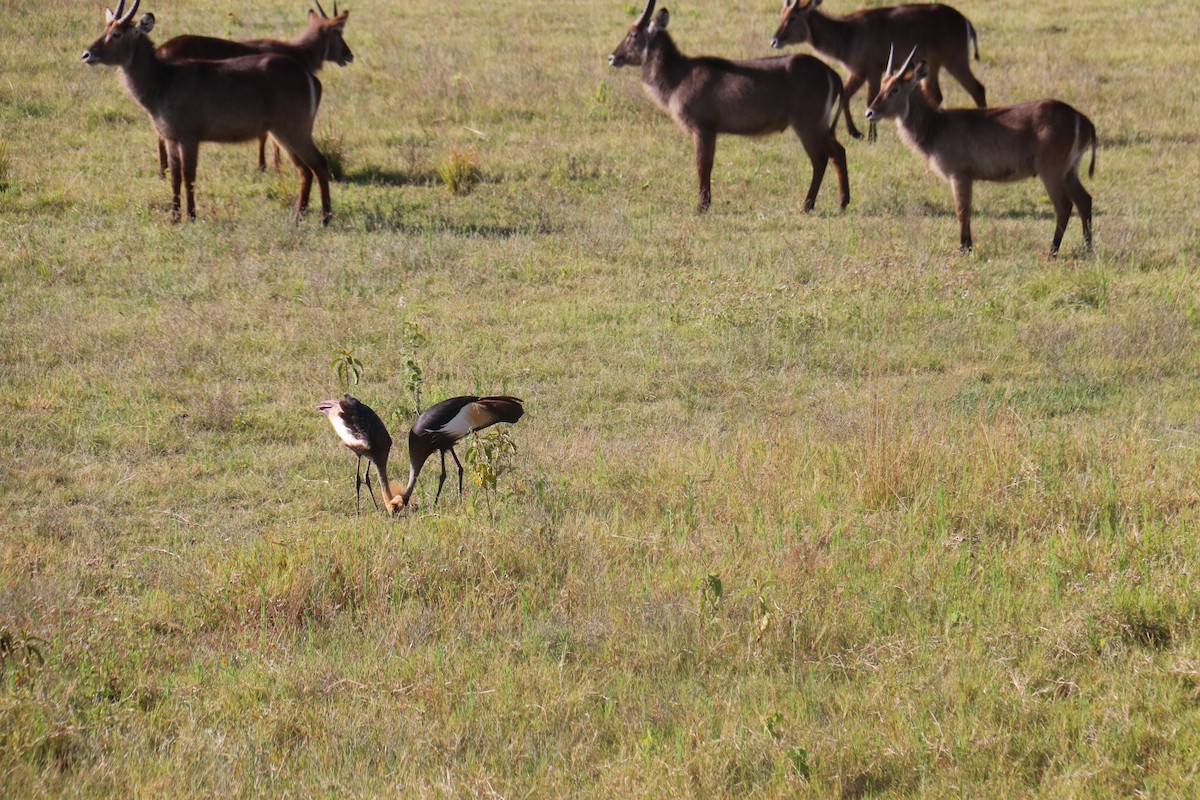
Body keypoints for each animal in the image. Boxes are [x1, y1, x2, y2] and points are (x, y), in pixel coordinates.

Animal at [83, 2, 333, 225]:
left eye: (116, 34)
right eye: (105, 28)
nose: (87, 54)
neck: (162, 80)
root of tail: (310, 77)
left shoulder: (189, 135)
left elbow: (189, 175)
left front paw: (191, 216)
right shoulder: (171, 137)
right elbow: (174, 177)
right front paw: (174, 218)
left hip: (295, 129)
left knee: (319, 164)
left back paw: (325, 218)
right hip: (281, 132)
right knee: (305, 170)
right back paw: (298, 216)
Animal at [154, 0, 352, 175]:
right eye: (338, 31)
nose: (349, 55)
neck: (298, 52)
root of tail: (161, 49)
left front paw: (265, 165)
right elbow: (269, 137)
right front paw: (272, 166)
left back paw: (163, 170)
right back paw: (164, 169)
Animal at [609, 0, 854, 214]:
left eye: (633, 34)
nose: (612, 57)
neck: (678, 76)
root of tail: (830, 72)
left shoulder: (703, 128)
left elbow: (702, 164)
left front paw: (701, 207)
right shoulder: (711, 131)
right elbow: (707, 164)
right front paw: (705, 204)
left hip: (805, 123)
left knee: (820, 158)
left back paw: (807, 205)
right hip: (821, 124)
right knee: (838, 152)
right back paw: (842, 202)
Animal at [768, 0, 984, 141]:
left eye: (793, 17)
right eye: (781, 15)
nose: (774, 41)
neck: (848, 35)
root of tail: (965, 21)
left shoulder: (872, 70)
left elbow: (868, 98)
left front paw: (871, 136)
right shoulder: (857, 71)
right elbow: (845, 93)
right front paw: (852, 132)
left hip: (954, 60)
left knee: (977, 88)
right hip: (932, 66)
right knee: (937, 95)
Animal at [864, 48, 1099, 255]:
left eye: (895, 89)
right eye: (882, 85)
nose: (869, 112)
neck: (935, 126)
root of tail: (1081, 118)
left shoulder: (960, 174)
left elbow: (961, 210)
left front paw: (963, 247)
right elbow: (966, 210)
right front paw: (967, 245)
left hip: (1051, 170)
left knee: (1064, 205)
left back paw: (1053, 250)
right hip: (1069, 170)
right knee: (1085, 200)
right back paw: (1087, 248)